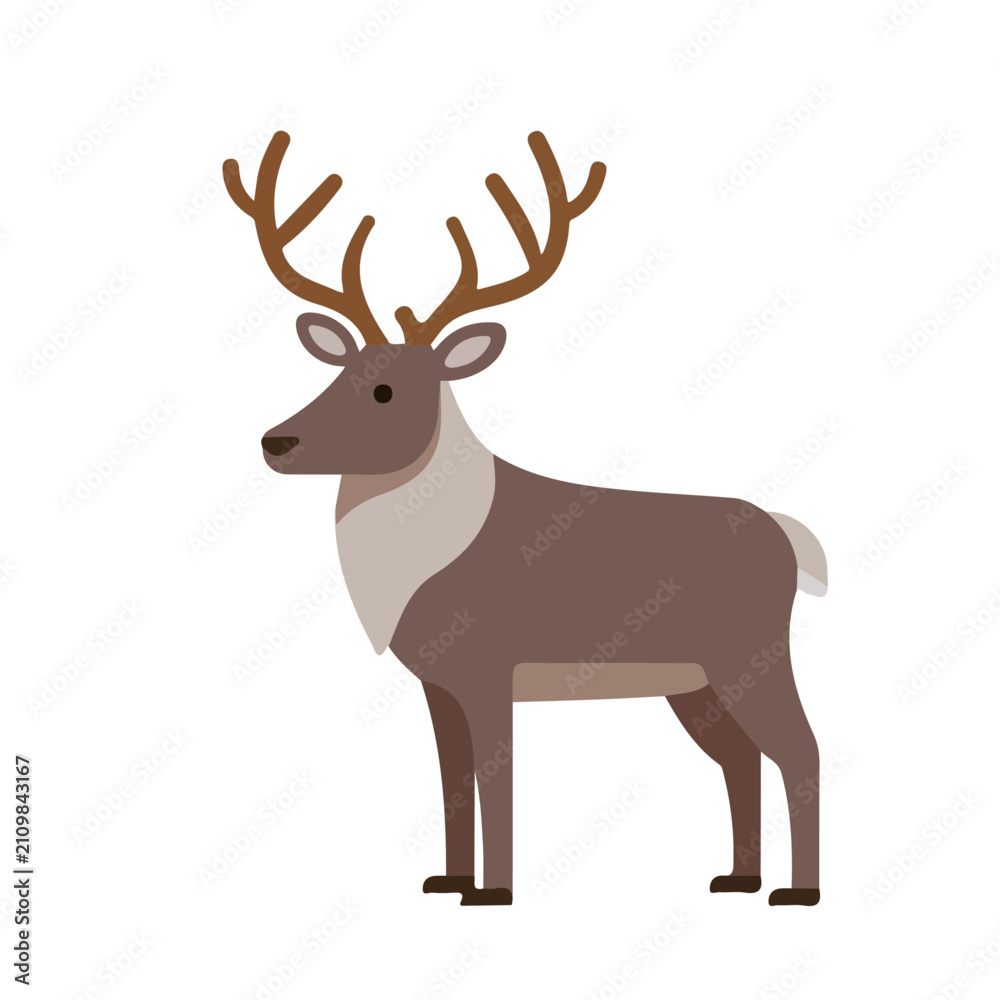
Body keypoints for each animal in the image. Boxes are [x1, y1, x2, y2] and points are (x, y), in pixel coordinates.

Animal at [223, 130, 827, 907]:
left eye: (386, 390)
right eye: (336, 371)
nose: (279, 441)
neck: (411, 568)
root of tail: (791, 538)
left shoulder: (490, 665)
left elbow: (496, 777)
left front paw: (495, 892)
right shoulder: (439, 682)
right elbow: (451, 780)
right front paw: (448, 880)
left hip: (750, 653)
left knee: (800, 748)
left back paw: (798, 892)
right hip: (693, 682)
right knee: (739, 760)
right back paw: (737, 879)